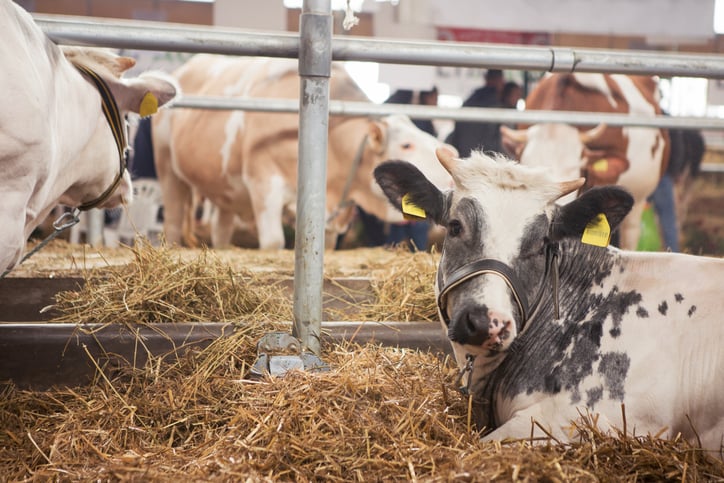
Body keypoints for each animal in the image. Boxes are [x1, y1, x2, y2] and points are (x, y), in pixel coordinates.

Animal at [153, 55, 452, 250]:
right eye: (406, 145)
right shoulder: (263, 183)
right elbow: (273, 242)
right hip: (167, 167)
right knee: (173, 220)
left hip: (224, 190)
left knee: (220, 229)